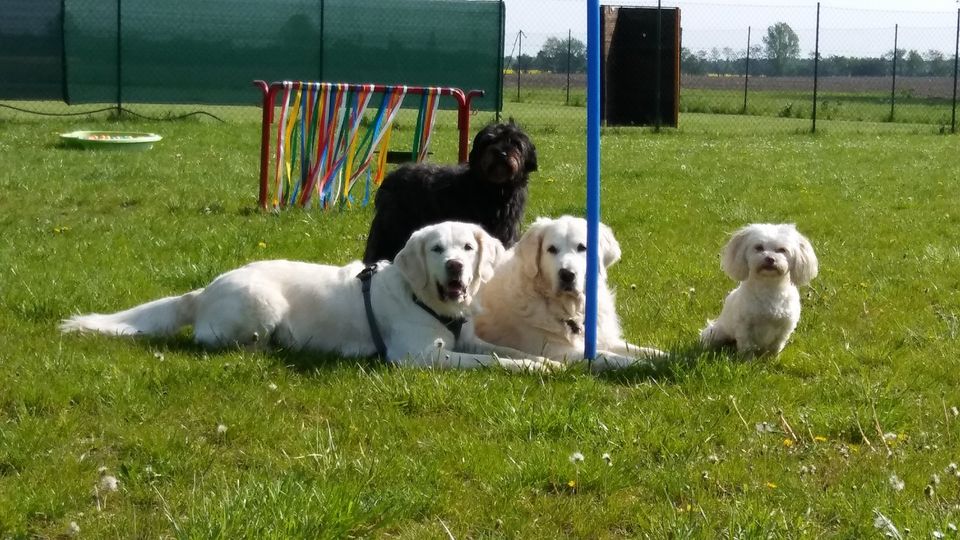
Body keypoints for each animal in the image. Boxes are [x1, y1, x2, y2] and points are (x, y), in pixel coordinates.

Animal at [362, 123, 536, 266]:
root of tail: (390, 179)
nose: (501, 153)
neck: (494, 188)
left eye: (515, 143)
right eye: (489, 141)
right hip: (392, 229)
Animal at [696, 221, 816, 356]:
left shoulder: (784, 327)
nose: (770, 258)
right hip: (717, 333)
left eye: (782, 250)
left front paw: (771, 359)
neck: (769, 286)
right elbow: (747, 347)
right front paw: (746, 359)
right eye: (759, 247)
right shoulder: (744, 326)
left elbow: (776, 346)